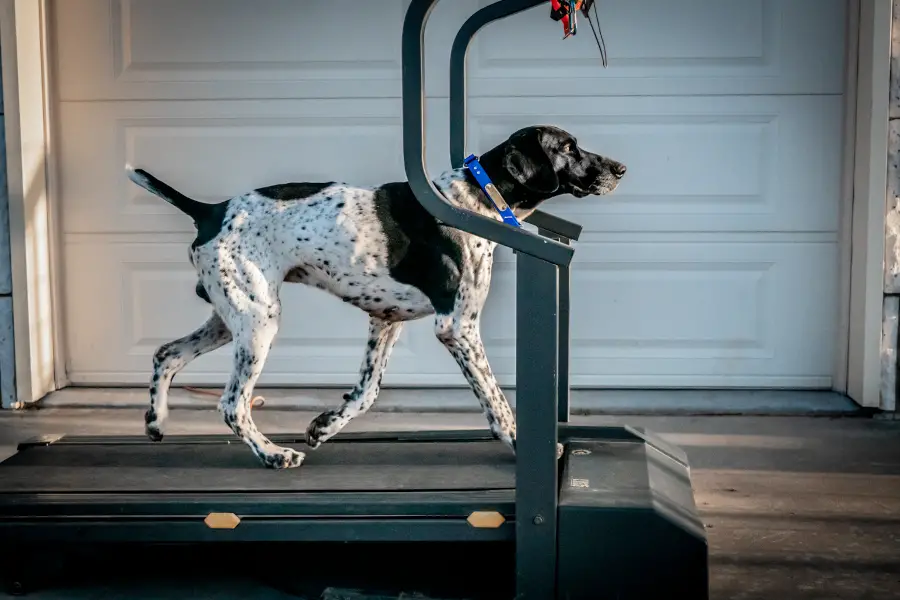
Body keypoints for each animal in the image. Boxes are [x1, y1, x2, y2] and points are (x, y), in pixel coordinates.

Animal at [126, 124, 624, 466]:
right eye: (569, 147)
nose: (620, 168)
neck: (475, 200)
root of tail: (211, 210)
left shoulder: (386, 321)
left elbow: (366, 393)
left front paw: (324, 426)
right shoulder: (458, 327)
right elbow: (496, 400)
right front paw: (521, 442)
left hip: (231, 317)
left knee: (166, 354)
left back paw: (156, 422)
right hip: (257, 321)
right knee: (232, 404)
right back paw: (273, 454)